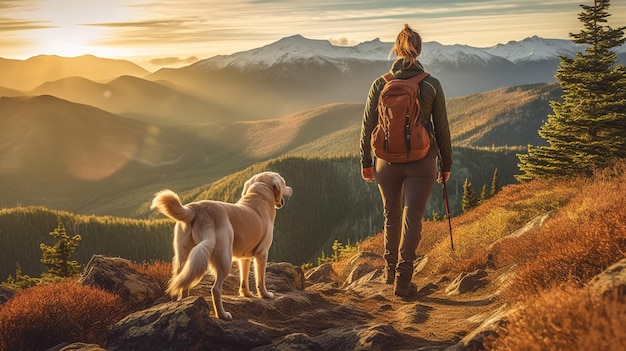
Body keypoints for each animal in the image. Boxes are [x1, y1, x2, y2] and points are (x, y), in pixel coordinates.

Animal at [150, 172, 292, 320]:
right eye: (284, 183)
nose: (291, 189)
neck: (259, 195)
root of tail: (196, 208)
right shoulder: (262, 253)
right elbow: (261, 279)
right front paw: (265, 294)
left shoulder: (244, 258)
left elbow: (244, 278)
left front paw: (246, 294)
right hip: (224, 258)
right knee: (216, 289)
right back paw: (222, 314)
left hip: (182, 257)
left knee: (183, 283)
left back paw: (184, 302)